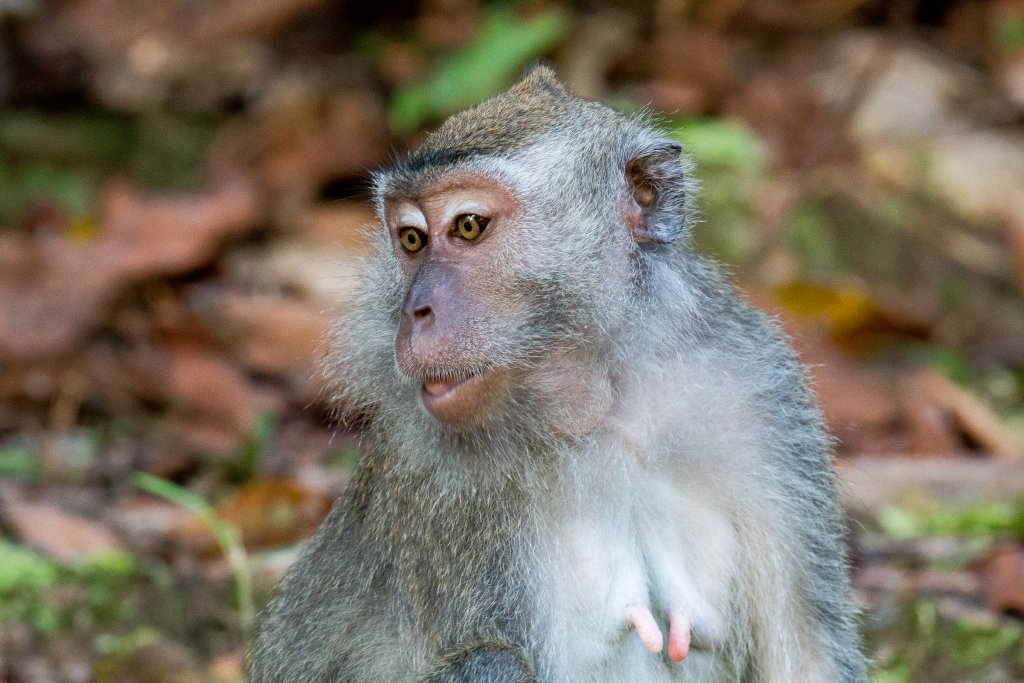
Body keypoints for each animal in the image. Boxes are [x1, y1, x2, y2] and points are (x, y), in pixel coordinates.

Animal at [248, 66, 867, 682]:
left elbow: (806, 653)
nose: (414, 311)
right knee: (494, 662)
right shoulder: (442, 486)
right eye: (412, 239)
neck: (603, 405)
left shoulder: (758, 392)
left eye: (468, 226)